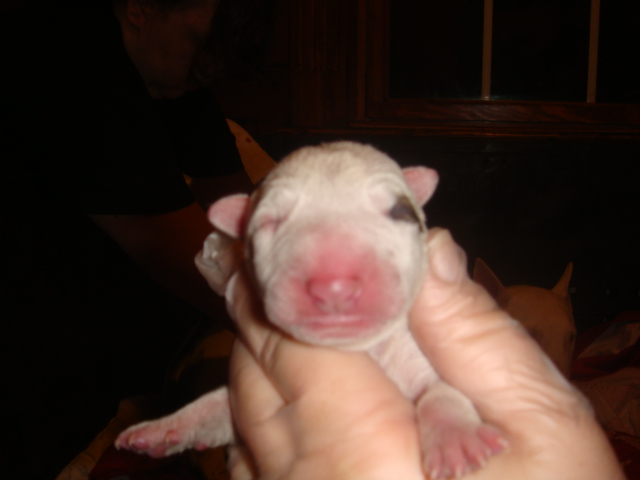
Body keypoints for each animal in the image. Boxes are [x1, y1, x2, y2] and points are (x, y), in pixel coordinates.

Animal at [115, 142, 506, 479]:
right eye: (267, 223)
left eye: (403, 212)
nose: (334, 287)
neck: (364, 350)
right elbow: (218, 404)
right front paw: (165, 428)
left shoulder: (415, 355)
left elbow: (441, 390)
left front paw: (457, 437)